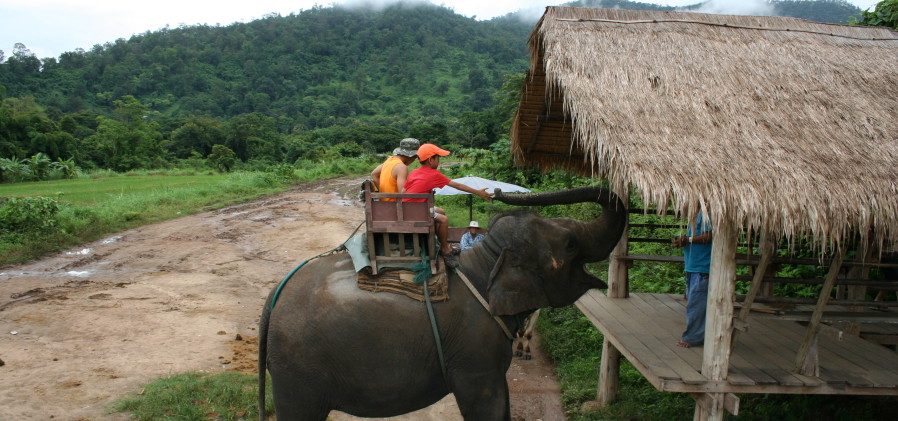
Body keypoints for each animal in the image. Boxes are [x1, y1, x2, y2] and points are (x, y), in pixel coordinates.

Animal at [256, 185, 628, 418]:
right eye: (570, 244)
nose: (496, 192)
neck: (485, 261)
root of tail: (274, 296)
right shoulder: (475, 352)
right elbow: (486, 405)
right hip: (298, 369)